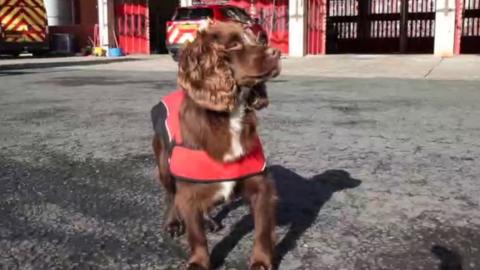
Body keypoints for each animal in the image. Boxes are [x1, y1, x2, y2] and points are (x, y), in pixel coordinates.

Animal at [151, 21, 282, 270]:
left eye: (257, 40)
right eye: (234, 45)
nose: (277, 52)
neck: (228, 115)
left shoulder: (260, 186)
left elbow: (261, 230)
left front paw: (261, 261)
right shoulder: (189, 189)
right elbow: (196, 234)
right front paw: (199, 263)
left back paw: (210, 221)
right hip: (164, 164)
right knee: (170, 195)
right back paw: (172, 222)